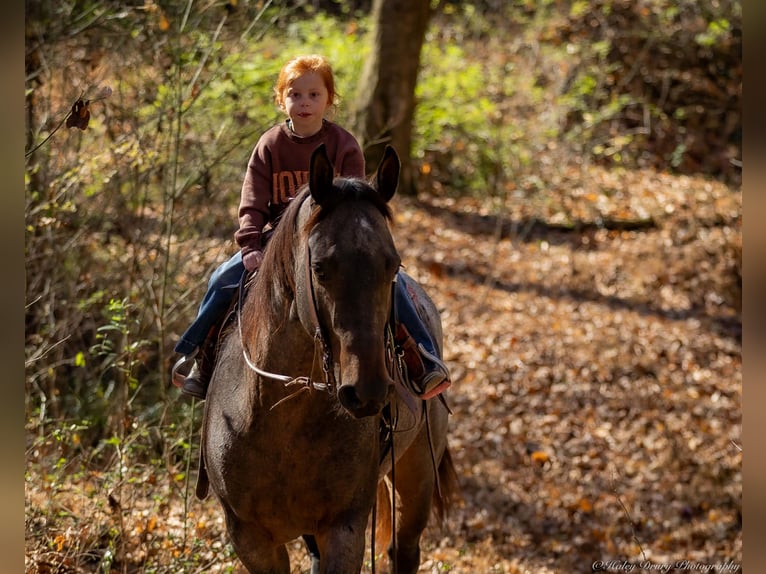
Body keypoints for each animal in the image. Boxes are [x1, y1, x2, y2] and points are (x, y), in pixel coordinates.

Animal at [196, 143, 458, 574]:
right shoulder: (249, 538)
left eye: (393, 265)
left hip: (418, 472)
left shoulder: (344, 528)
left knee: (404, 548)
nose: (367, 391)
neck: (279, 415)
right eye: (319, 268)